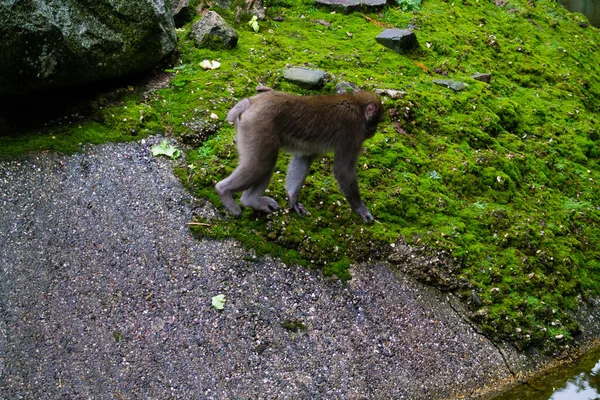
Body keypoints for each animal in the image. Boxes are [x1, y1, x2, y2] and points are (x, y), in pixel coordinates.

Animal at [216, 89, 384, 223]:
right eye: (376, 122)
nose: (374, 131)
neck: (357, 106)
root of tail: (250, 102)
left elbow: (304, 158)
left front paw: (293, 200)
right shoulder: (352, 130)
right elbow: (343, 170)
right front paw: (360, 209)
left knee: (266, 163)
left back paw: (252, 202)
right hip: (258, 127)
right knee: (261, 164)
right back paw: (224, 192)